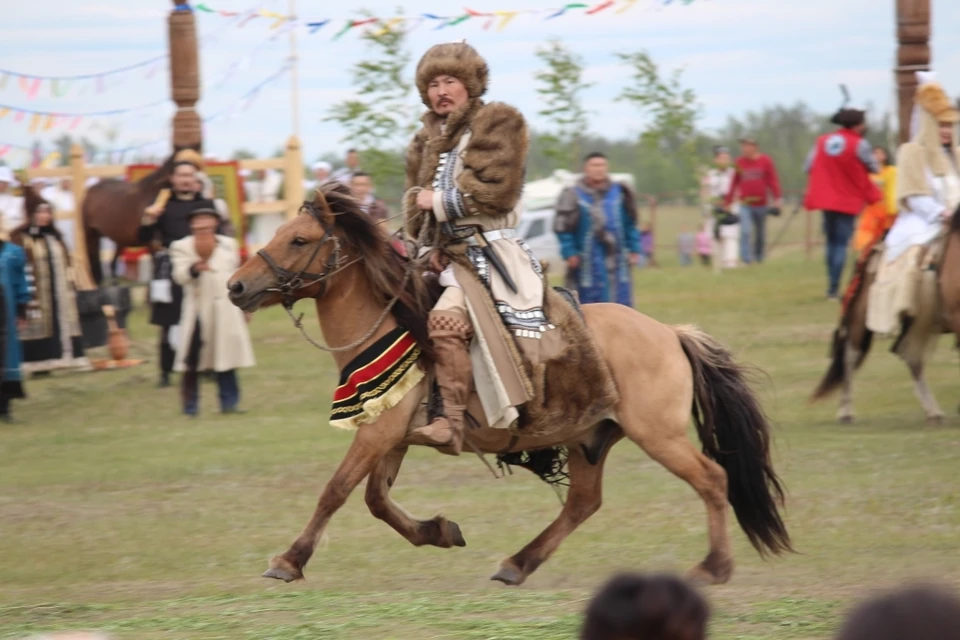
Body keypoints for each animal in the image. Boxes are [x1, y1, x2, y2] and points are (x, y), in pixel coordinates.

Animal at [227, 181, 796, 592]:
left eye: (299, 240)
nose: (236, 286)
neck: (392, 319)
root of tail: (670, 334)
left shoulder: (378, 434)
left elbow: (336, 491)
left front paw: (289, 560)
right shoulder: (391, 435)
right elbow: (375, 500)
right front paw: (439, 531)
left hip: (659, 435)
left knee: (713, 480)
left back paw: (713, 568)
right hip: (589, 437)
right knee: (583, 503)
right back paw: (518, 564)